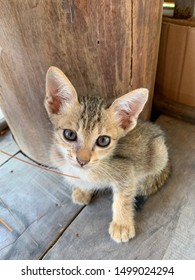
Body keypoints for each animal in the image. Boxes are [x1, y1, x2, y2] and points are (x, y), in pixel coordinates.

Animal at [44, 66, 171, 243]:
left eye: (103, 140)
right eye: (69, 134)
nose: (82, 160)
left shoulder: (127, 171)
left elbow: (123, 198)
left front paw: (122, 225)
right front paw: (84, 190)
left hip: (159, 153)